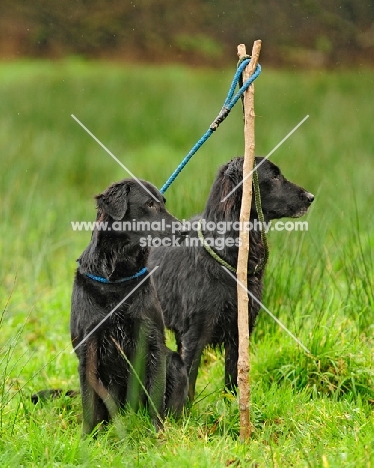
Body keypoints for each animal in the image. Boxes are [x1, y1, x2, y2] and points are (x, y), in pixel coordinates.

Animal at [69, 179, 187, 436]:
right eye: (149, 204)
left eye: (163, 202)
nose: (185, 231)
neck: (117, 281)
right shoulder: (88, 349)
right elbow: (89, 405)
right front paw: (86, 438)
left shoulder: (153, 343)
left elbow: (155, 398)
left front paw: (158, 434)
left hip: (174, 362)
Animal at [148, 157, 314, 398]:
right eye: (274, 176)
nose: (311, 197)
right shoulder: (195, 333)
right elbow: (189, 380)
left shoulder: (240, 329)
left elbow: (234, 378)